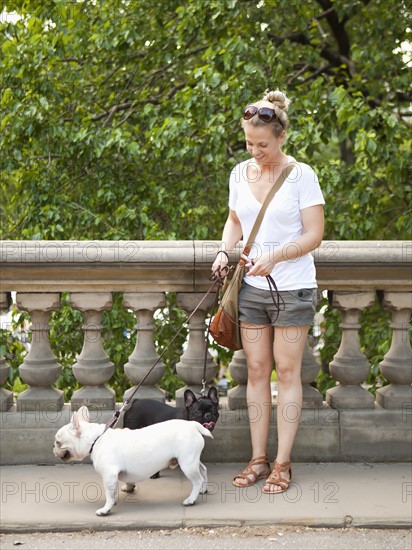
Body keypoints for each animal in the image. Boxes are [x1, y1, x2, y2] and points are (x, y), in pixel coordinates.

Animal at [52, 406, 211, 516]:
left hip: (187, 463)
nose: (53, 447)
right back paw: (203, 489)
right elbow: (122, 485)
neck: (95, 439)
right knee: (203, 470)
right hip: (191, 460)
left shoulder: (109, 475)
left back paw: (191, 499)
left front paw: (106, 509)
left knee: (196, 480)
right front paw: (127, 489)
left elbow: (109, 493)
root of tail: (193, 425)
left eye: (58, 442)